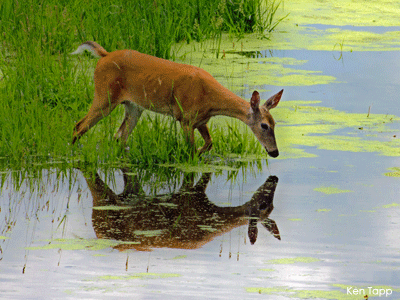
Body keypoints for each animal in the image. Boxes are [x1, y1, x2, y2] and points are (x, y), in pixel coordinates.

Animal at [70, 41, 282, 157]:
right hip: (104, 96)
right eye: (264, 125)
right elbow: (190, 151)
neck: (211, 100)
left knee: (119, 136)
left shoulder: (201, 120)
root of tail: (104, 55)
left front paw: (200, 153)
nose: (275, 152)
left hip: (133, 107)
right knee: (79, 126)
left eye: (275, 123)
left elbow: (209, 143)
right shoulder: (185, 119)